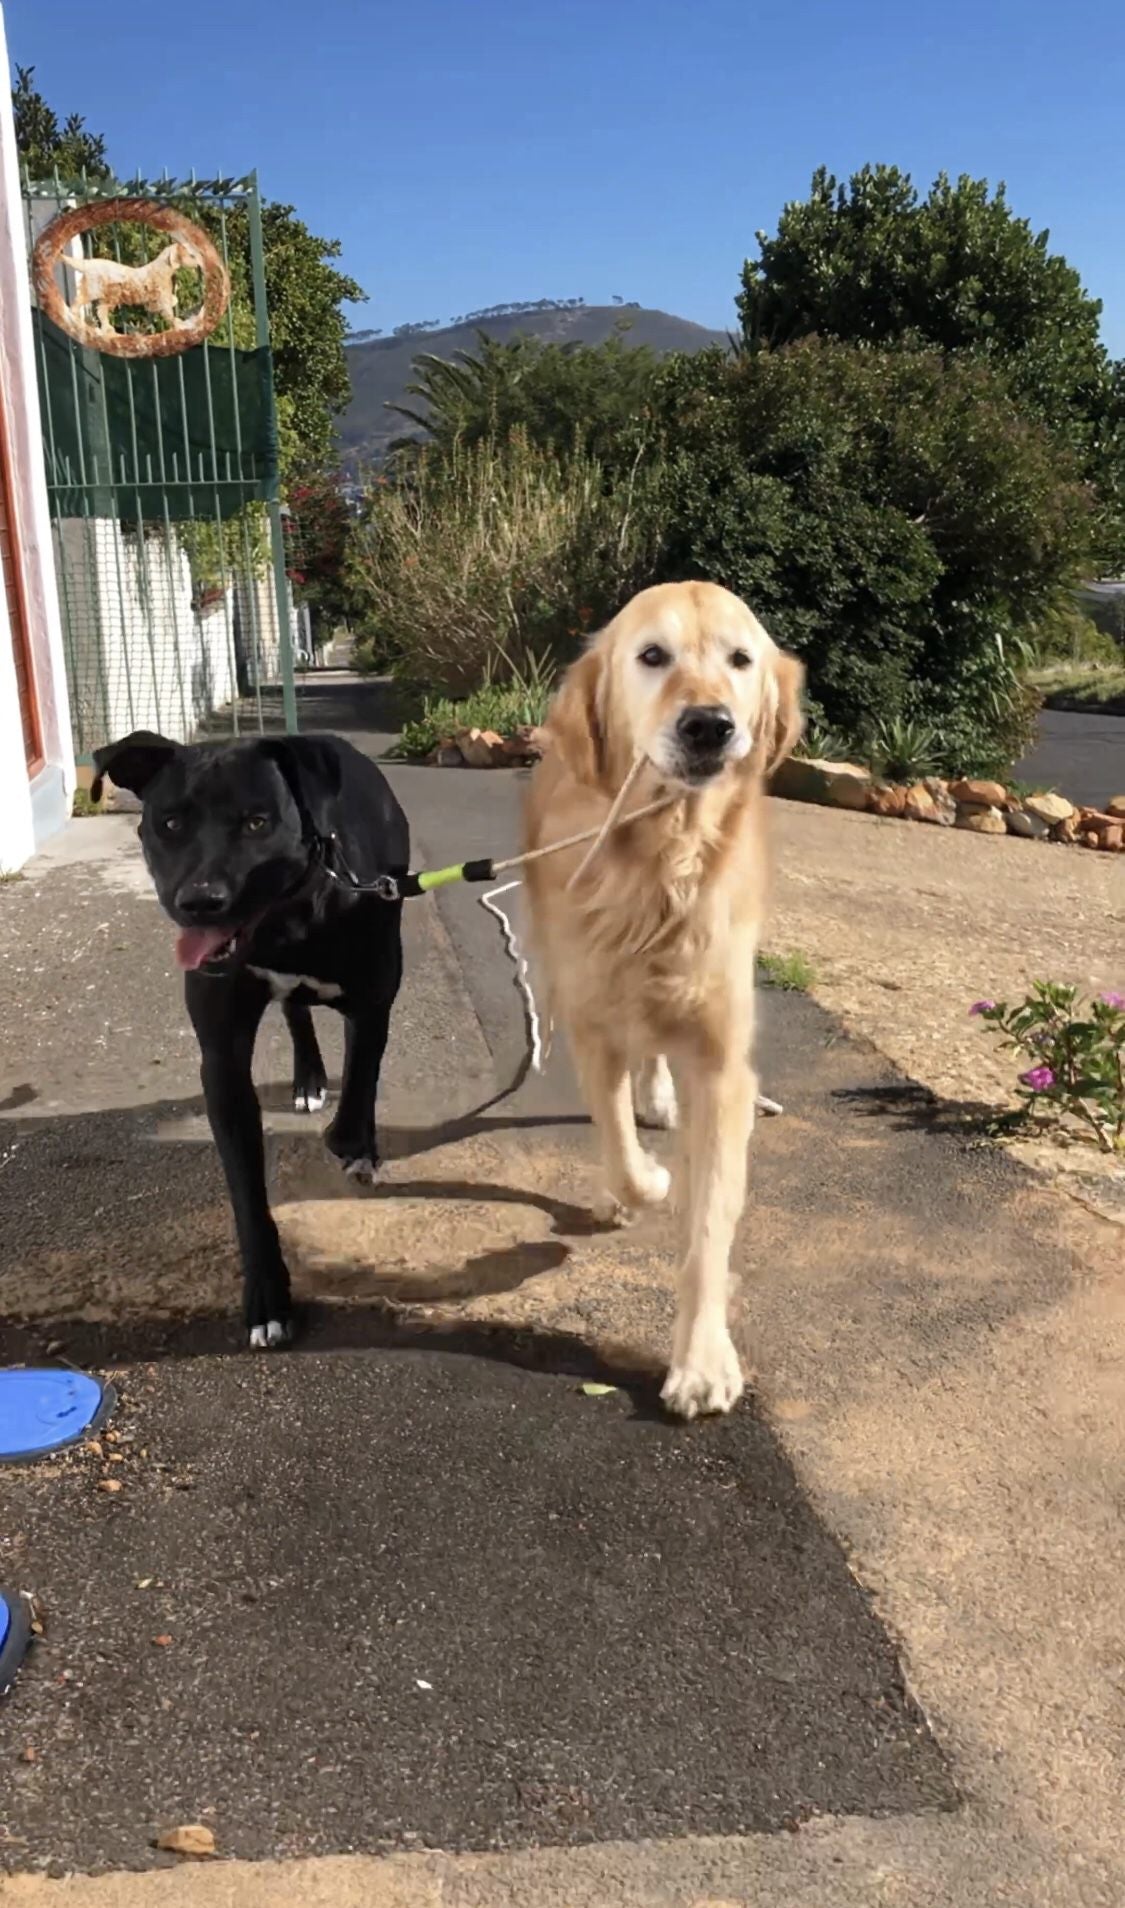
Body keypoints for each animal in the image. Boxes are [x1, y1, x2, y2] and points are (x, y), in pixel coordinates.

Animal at [92, 725, 409, 1343]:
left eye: (258, 822)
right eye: (170, 823)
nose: (199, 901)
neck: (286, 925)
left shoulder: (374, 997)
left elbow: (363, 1072)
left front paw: (354, 1145)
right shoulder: (222, 1057)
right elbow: (244, 1188)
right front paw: (267, 1296)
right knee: (296, 1013)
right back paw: (308, 1077)